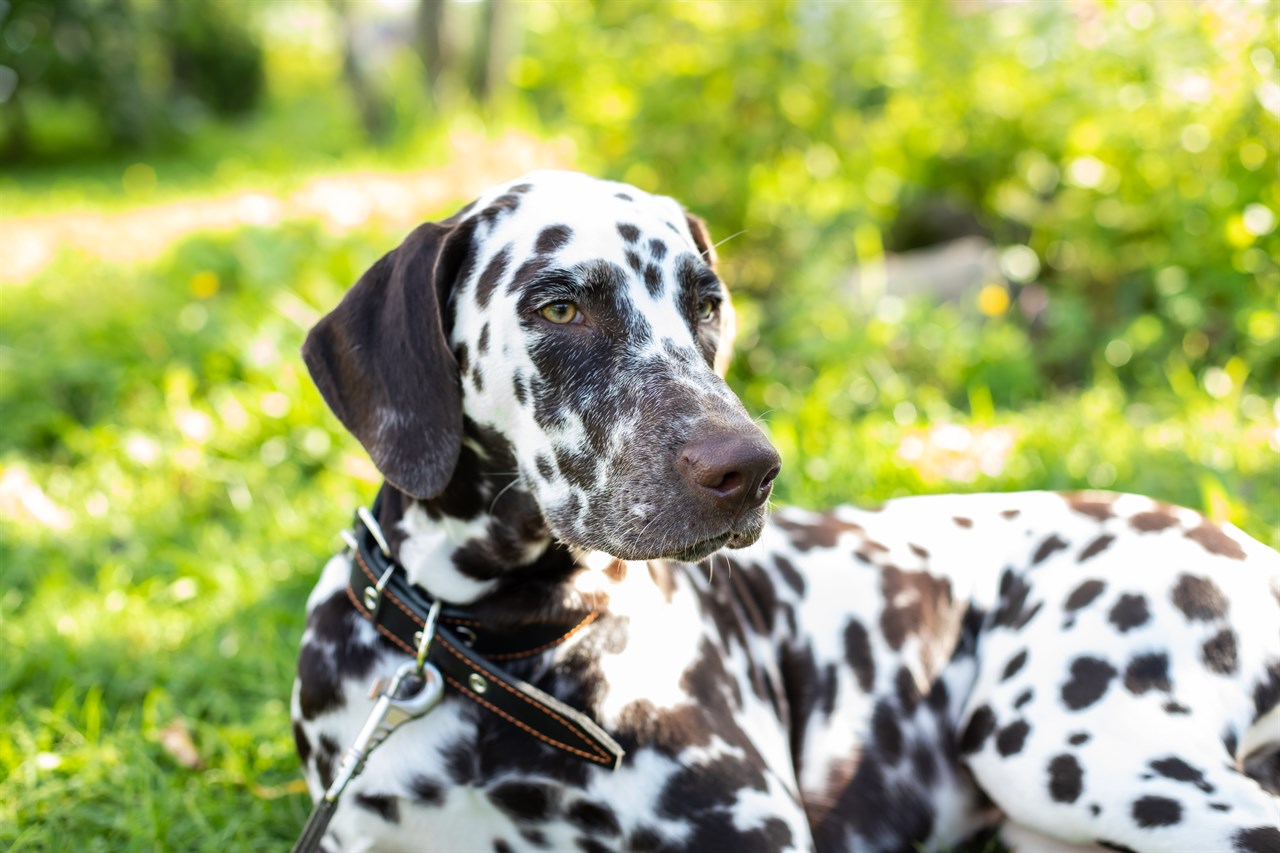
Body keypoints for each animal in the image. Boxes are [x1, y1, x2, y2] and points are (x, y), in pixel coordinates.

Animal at [293, 169, 1280, 845]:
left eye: (707, 301)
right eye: (561, 305)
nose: (749, 468)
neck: (490, 641)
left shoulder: (751, 825)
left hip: (1065, 743)